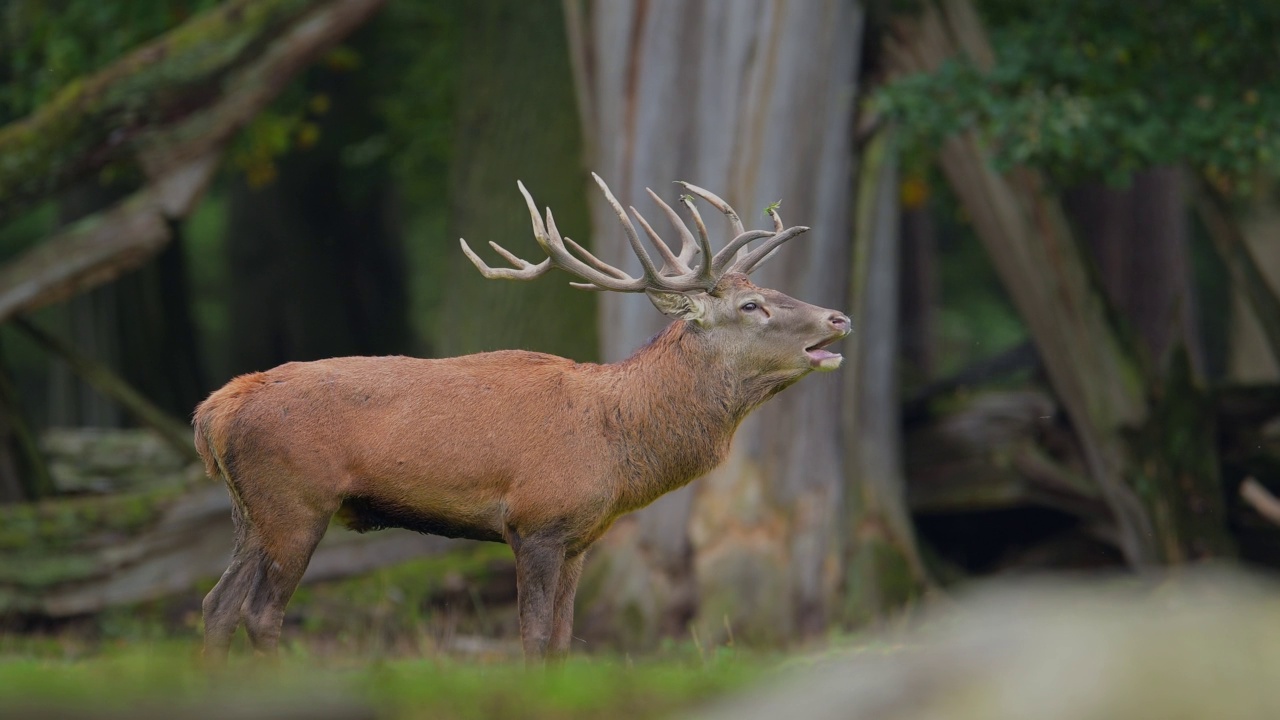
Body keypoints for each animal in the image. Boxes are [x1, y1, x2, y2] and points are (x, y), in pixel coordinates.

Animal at [197, 172, 849, 655]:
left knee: (216, 605)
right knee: (260, 612)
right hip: (296, 501)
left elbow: (563, 640)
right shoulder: (537, 520)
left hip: (250, 511)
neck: (618, 445)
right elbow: (533, 637)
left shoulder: (580, 538)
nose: (839, 316)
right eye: (752, 304)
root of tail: (215, 409)